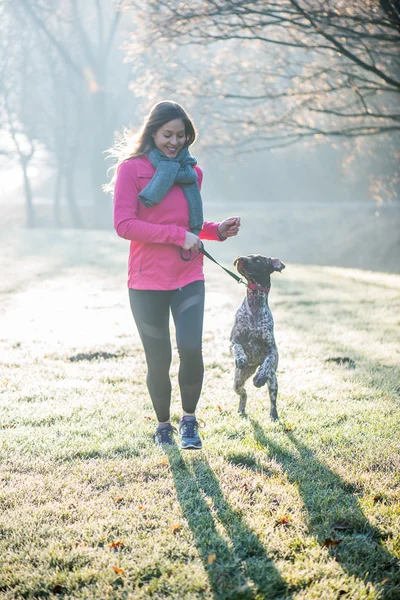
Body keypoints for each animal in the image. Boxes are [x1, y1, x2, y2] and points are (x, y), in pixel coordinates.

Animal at [230, 255, 286, 420]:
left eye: (258, 260)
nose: (240, 259)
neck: (255, 303)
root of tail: (253, 365)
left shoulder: (271, 349)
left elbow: (267, 361)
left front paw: (260, 377)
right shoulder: (233, 341)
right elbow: (238, 347)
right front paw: (241, 359)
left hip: (273, 381)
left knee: (272, 401)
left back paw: (273, 415)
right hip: (237, 381)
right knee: (243, 393)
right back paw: (241, 409)